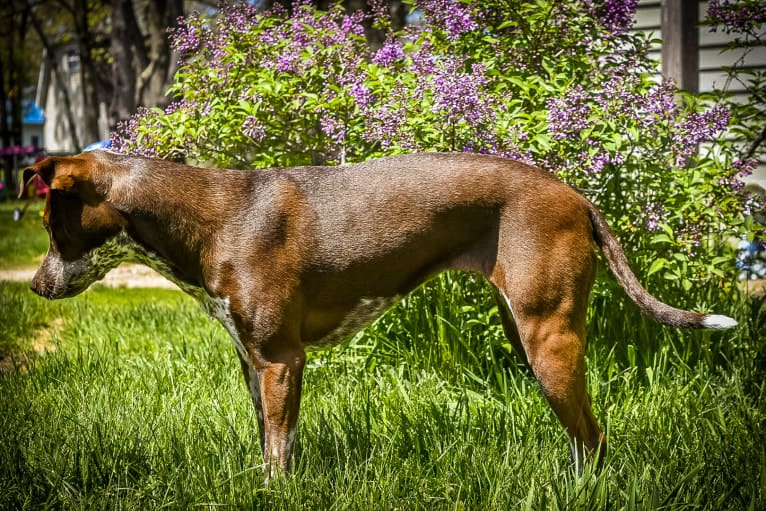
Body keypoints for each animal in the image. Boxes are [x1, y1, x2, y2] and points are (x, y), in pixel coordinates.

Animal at [19, 150, 736, 482]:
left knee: (593, 437)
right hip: (528, 330)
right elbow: (267, 442)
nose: (36, 286)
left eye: (52, 225)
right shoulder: (253, 363)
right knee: (584, 438)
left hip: (548, 338)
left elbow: (279, 452)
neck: (208, 218)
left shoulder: (281, 361)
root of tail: (575, 194)